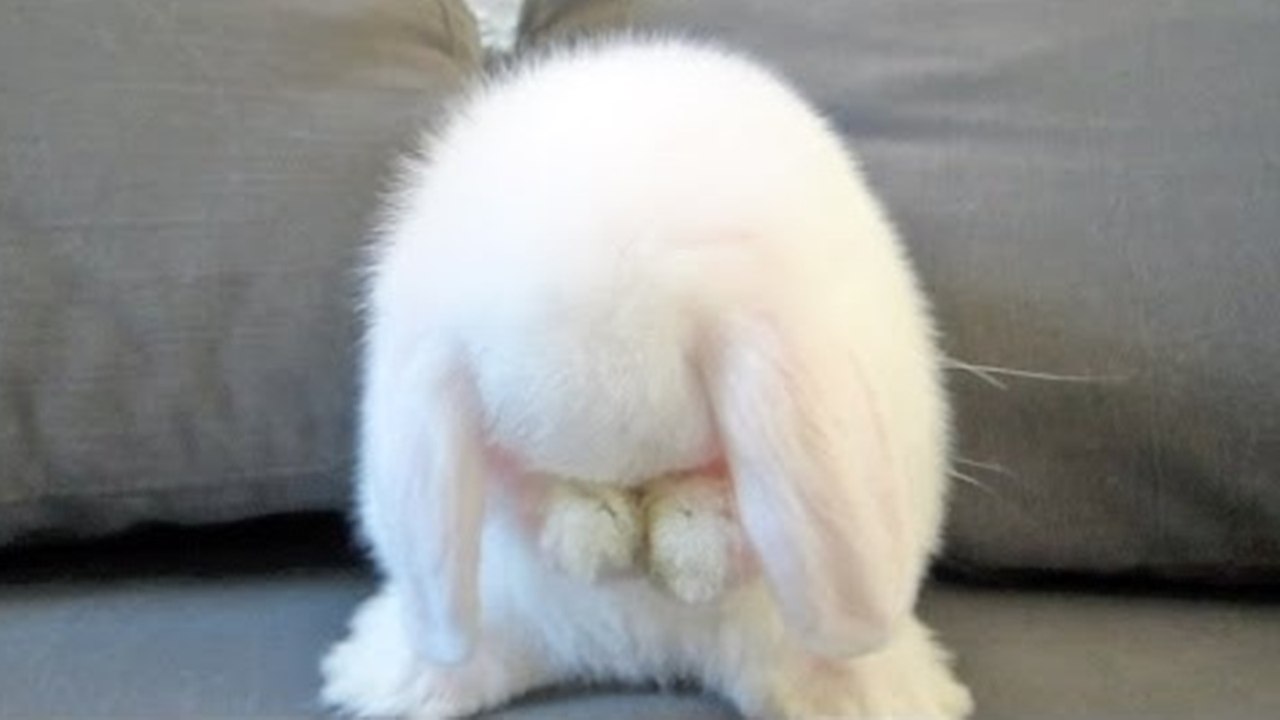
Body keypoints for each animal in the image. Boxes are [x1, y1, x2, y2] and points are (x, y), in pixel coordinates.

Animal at [320, 36, 973, 720]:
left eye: (706, 454)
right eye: (538, 459)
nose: (631, 554)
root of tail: (637, 655)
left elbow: (740, 524)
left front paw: (687, 547)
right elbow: (520, 500)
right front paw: (590, 534)